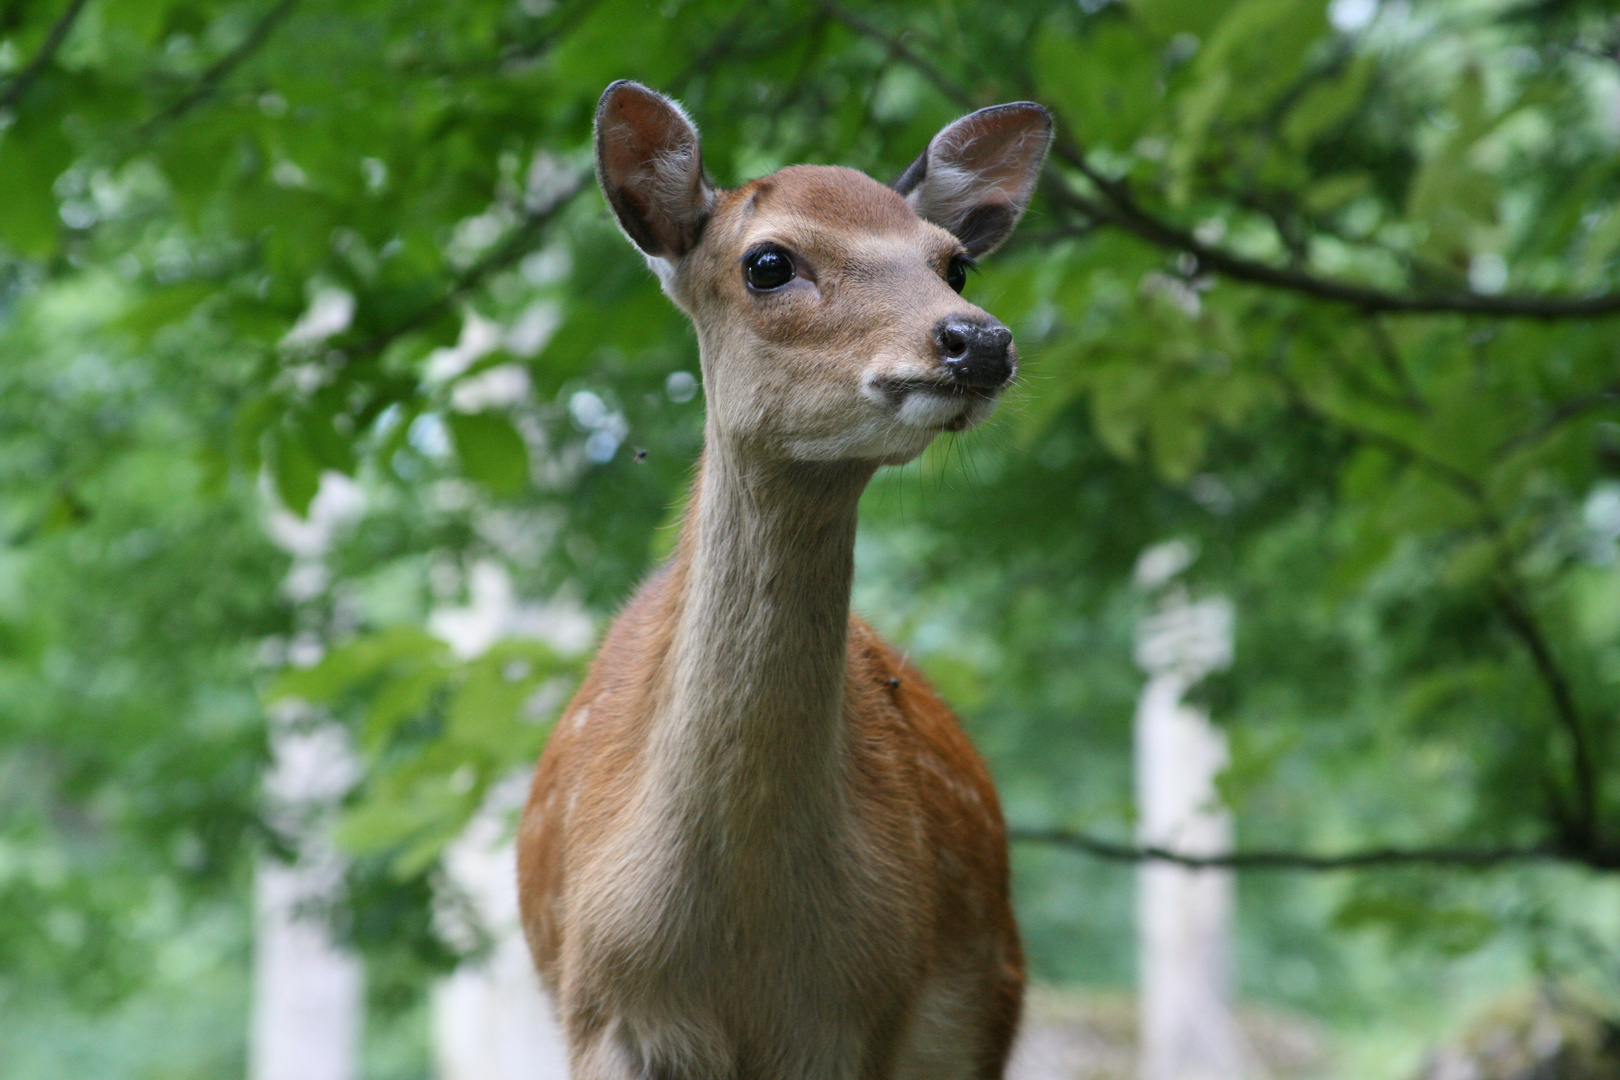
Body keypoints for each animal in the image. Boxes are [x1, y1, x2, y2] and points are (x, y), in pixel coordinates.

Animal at [518, 80, 1049, 1075]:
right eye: (768, 262)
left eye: (955, 265)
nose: (980, 341)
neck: (742, 949)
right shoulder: (602, 1011)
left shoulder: (858, 1017)